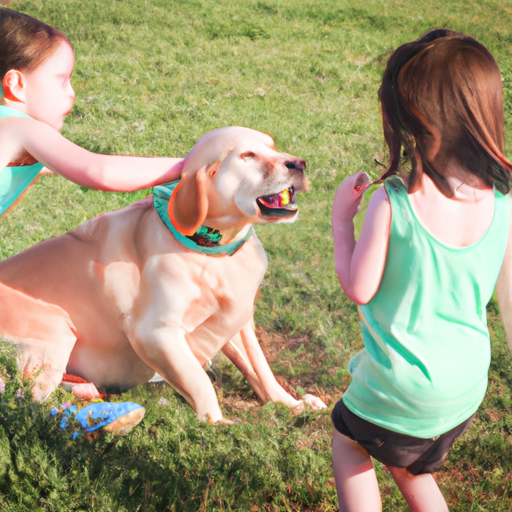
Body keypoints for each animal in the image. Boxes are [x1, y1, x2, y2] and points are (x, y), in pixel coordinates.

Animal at [0, 126, 326, 422]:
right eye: (247, 155)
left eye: (272, 146)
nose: (299, 163)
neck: (211, 252)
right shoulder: (155, 333)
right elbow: (201, 383)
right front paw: (217, 425)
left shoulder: (240, 316)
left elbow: (260, 366)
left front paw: (292, 404)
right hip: (56, 331)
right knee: (25, 404)